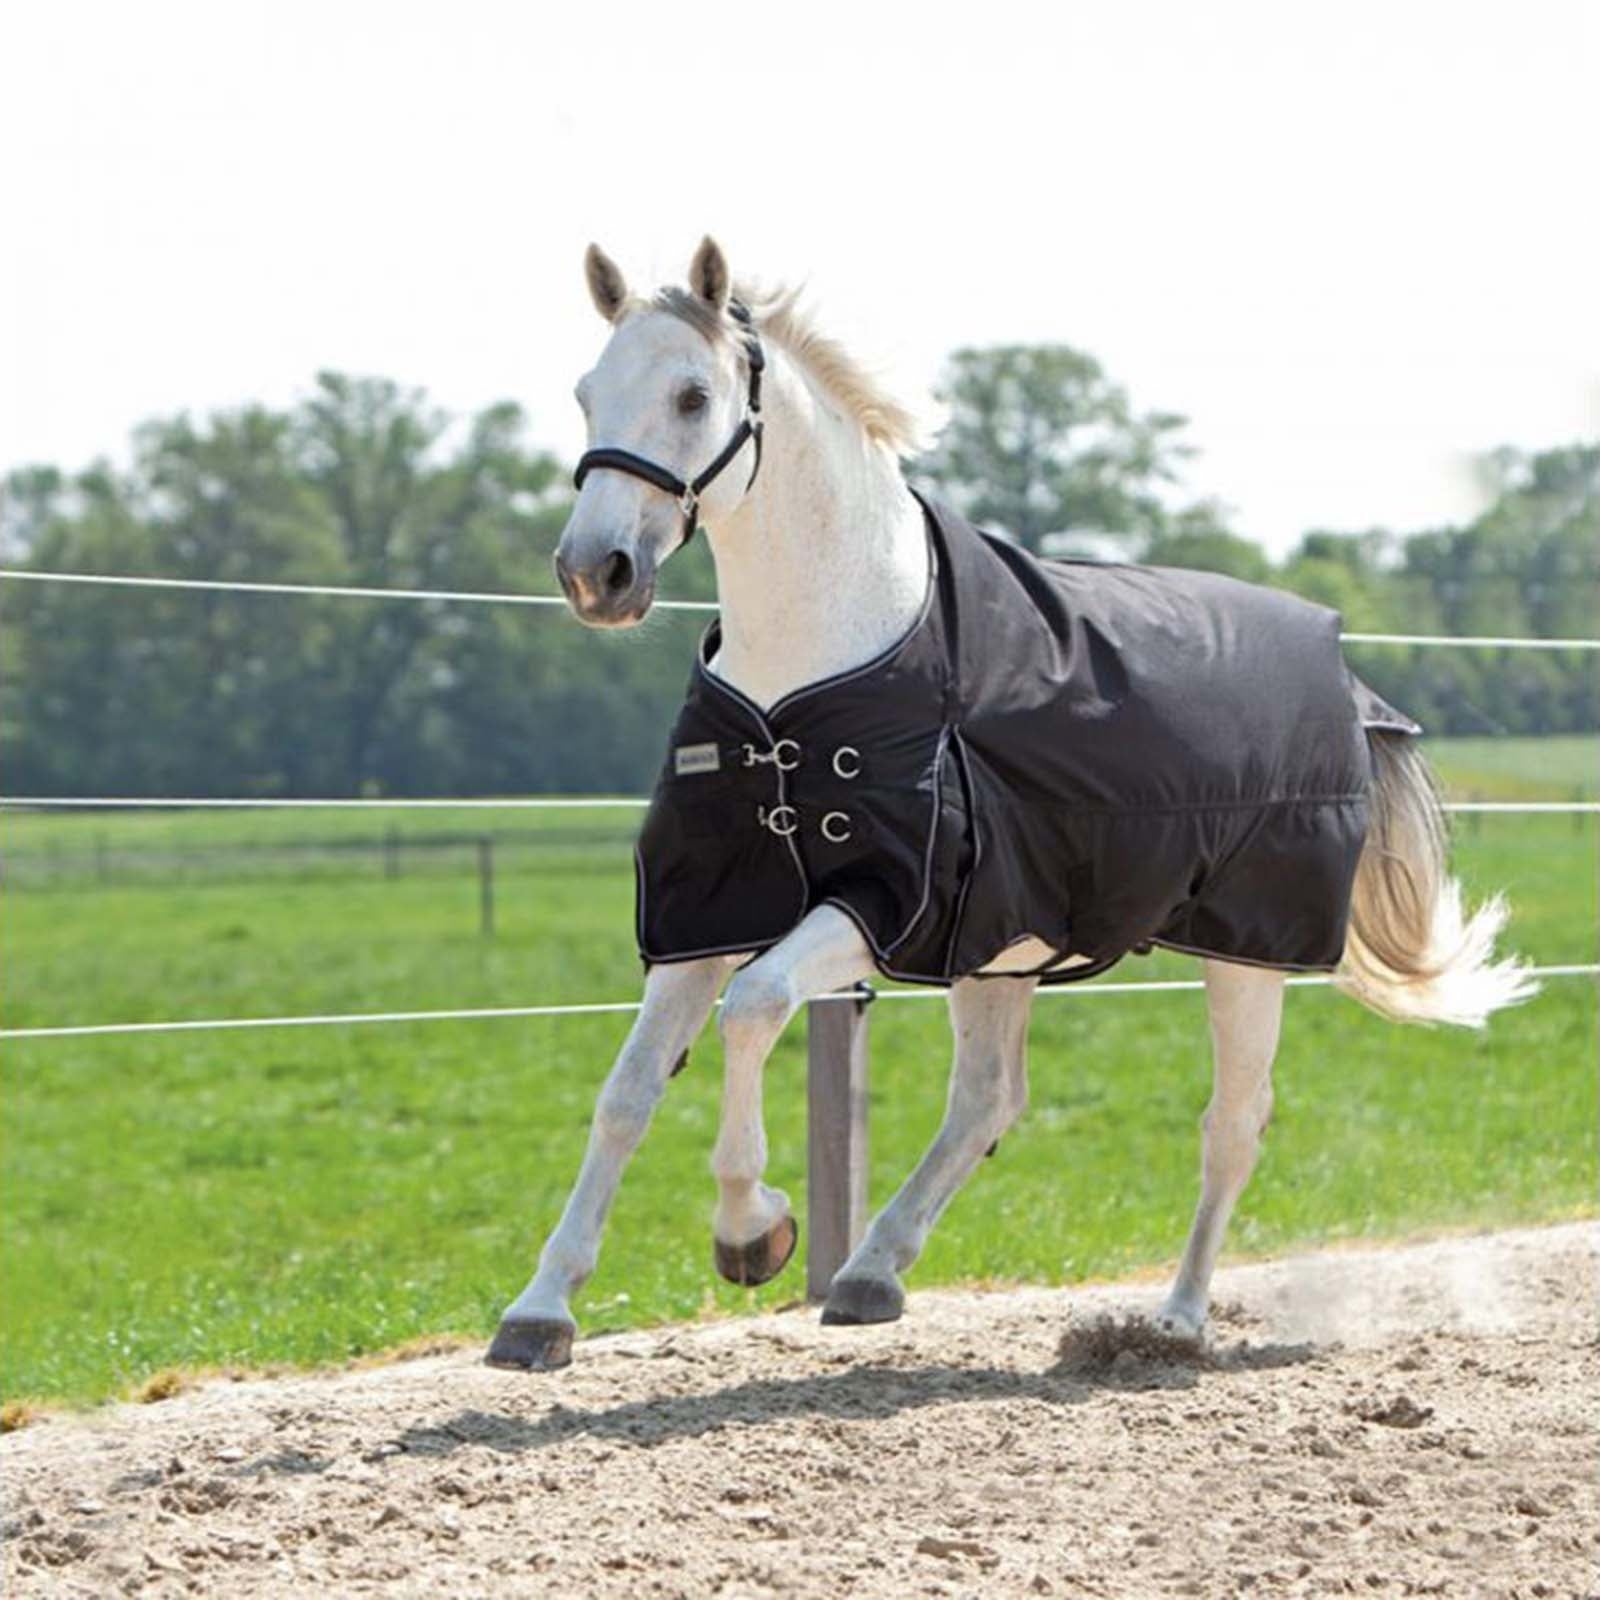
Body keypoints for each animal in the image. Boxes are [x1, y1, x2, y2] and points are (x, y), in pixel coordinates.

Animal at [486, 236, 1535, 1372]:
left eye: (691, 394)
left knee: (1230, 1123)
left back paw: (1174, 1320)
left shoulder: (874, 903)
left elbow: (755, 1007)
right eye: (586, 394)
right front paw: (540, 1310)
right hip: (1005, 945)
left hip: (1241, 950)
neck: (813, 672)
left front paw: (751, 1229)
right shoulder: (706, 909)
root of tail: (1348, 677)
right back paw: (872, 1273)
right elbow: (629, 1089)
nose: (595, 574)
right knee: (992, 1097)